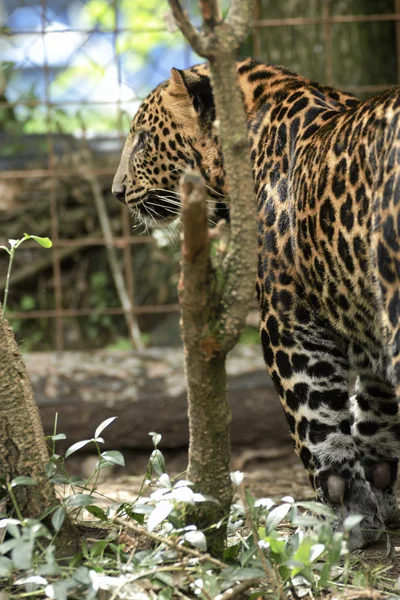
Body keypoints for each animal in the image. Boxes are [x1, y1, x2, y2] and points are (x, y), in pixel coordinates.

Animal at [112, 58, 400, 552]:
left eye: (144, 139)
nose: (115, 190)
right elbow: (375, 406)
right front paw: (379, 487)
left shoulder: (291, 322)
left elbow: (316, 419)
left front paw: (343, 515)